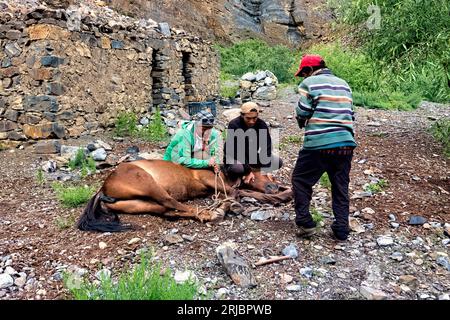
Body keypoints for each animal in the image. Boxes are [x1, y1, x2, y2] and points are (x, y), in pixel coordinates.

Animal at [78, 160, 292, 232]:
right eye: (265, 174)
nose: (274, 186)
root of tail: (103, 188)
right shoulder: (210, 181)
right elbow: (235, 192)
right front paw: (228, 205)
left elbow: (240, 191)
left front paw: (285, 193)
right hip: (148, 183)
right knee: (170, 201)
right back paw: (210, 214)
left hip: (138, 203)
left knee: (167, 209)